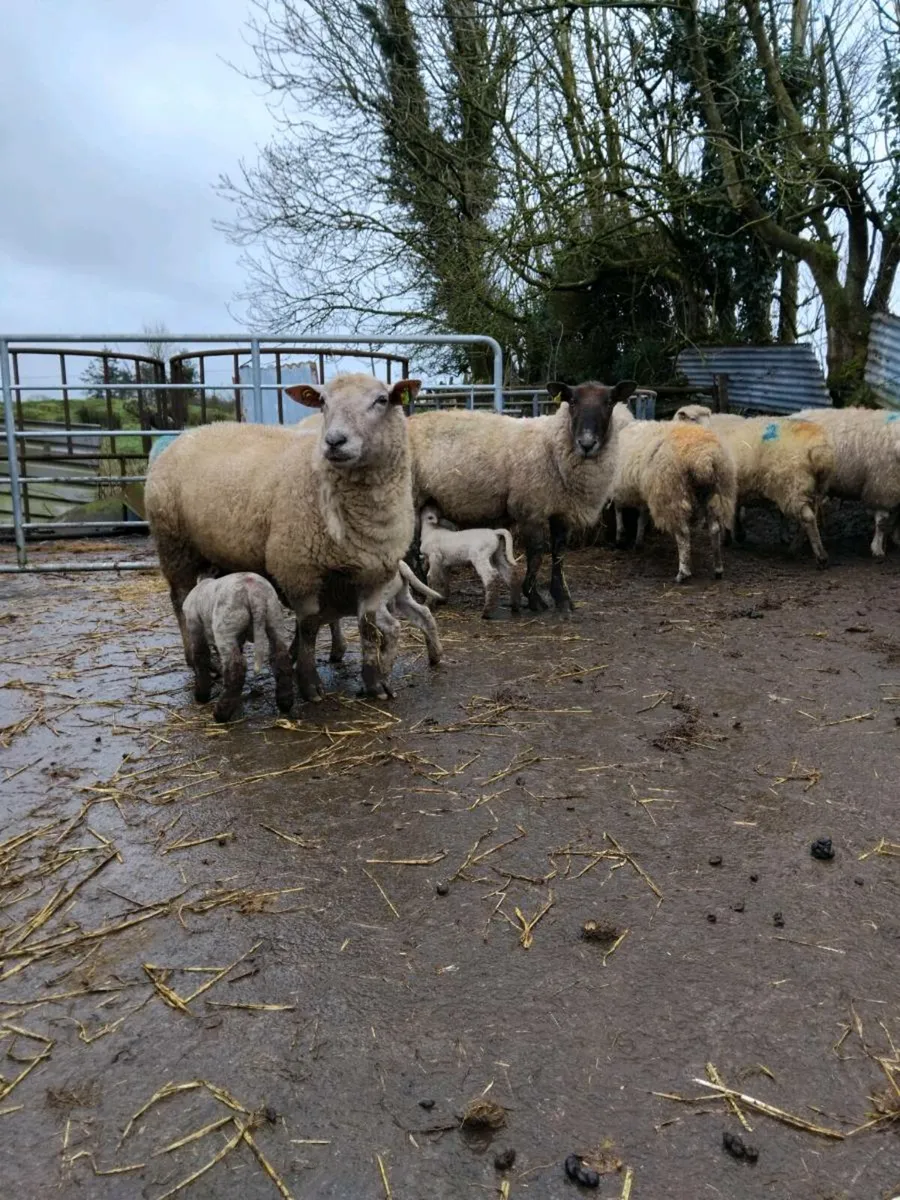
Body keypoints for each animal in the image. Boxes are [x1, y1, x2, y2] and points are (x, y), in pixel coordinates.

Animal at [144, 373, 420, 703]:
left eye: (381, 400)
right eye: (323, 401)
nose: (334, 441)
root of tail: (187, 434)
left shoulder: (376, 573)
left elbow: (367, 627)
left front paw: (374, 683)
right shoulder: (297, 567)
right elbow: (309, 626)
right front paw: (310, 684)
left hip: (216, 552)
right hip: (173, 543)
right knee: (180, 600)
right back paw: (199, 660)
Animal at [182, 572, 294, 723]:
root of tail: (254, 592)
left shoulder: (194, 626)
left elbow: (200, 658)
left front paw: (201, 695)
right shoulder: (238, 637)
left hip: (225, 627)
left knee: (236, 666)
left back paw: (221, 713)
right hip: (274, 616)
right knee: (281, 656)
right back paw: (285, 702)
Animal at [406, 379, 637, 612]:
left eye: (609, 402)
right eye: (572, 401)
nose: (587, 443)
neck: (552, 446)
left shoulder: (562, 510)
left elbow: (559, 552)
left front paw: (562, 599)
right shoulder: (530, 508)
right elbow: (536, 553)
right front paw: (534, 598)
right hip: (411, 497)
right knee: (410, 548)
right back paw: (422, 589)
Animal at [606, 408, 737, 582]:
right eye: (693, 418)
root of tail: (705, 458)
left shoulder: (618, 484)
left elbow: (619, 509)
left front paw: (620, 537)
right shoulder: (646, 489)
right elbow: (642, 516)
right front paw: (638, 542)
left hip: (672, 493)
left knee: (683, 533)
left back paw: (683, 572)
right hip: (715, 492)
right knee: (715, 529)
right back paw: (718, 569)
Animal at [674, 407, 833, 566]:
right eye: (693, 418)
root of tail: (819, 452)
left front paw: (728, 537)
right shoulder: (735, 487)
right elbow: (736, 511)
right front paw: (737, 534)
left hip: (793, 487)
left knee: (808, 518)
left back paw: (820, 556)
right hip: (814, 489)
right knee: (808, 519)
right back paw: (794, 549)